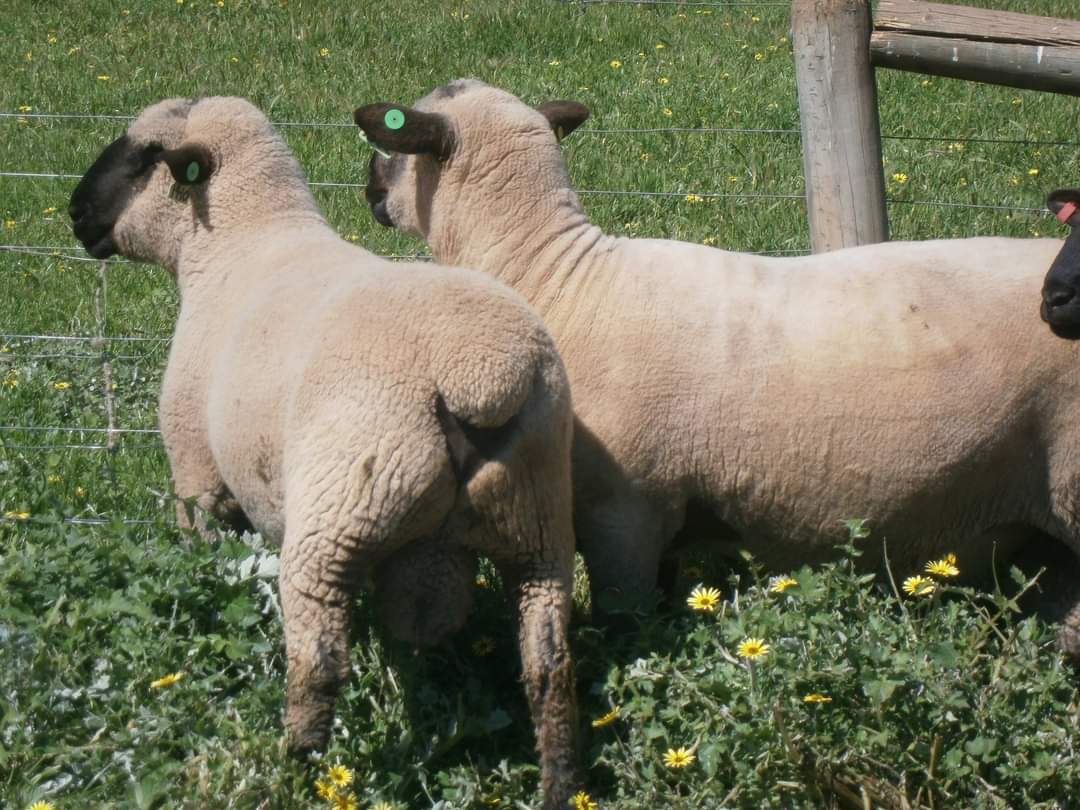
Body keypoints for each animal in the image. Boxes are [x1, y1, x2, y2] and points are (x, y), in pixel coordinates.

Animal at [68, 96, 579, 807]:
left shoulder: (196, 470)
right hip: (539, 522)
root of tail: (483, 374)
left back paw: (299, 763)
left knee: (320, 657)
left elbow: (205, 552)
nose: (75, 213)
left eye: (144, 156)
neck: (239, 242)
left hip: (344, 504)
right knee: (549, 660)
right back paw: (558, 778)